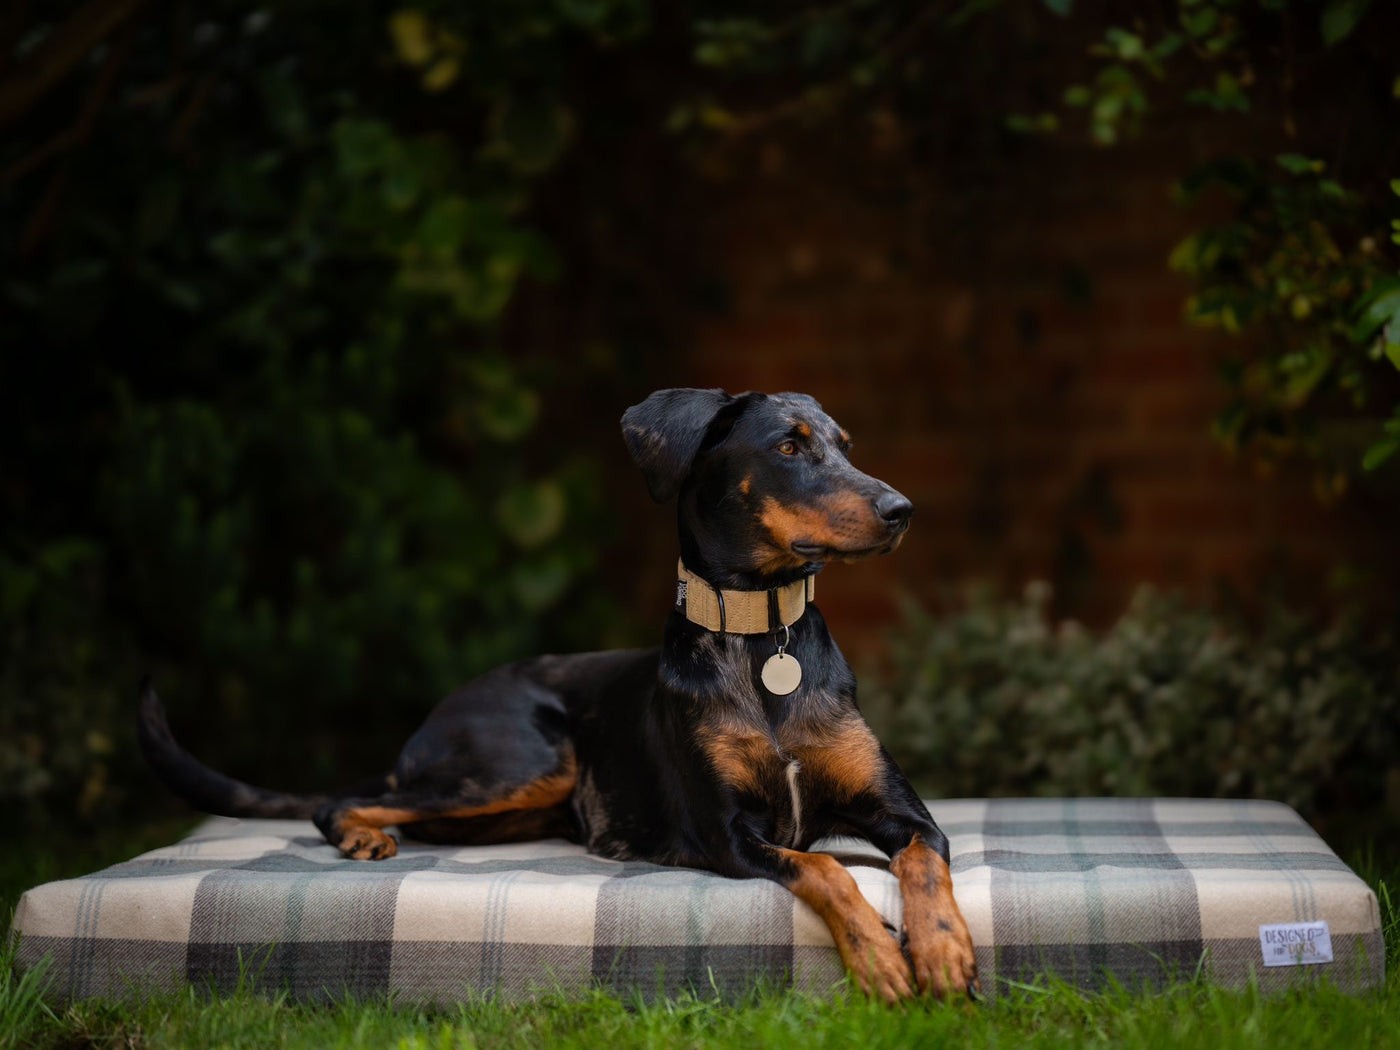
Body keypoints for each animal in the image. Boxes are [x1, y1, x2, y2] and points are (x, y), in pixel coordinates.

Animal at [139, 389, 974, 1002]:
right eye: (789, 447)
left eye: (845, 444)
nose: (902, 510)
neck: (761, 638)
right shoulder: (727, 837)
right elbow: (828, 871)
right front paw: (880, 957)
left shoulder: (901, 813)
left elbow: (924, 861)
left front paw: (943, 952)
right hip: (525, 760)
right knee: (346, 799)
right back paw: (361, 836)